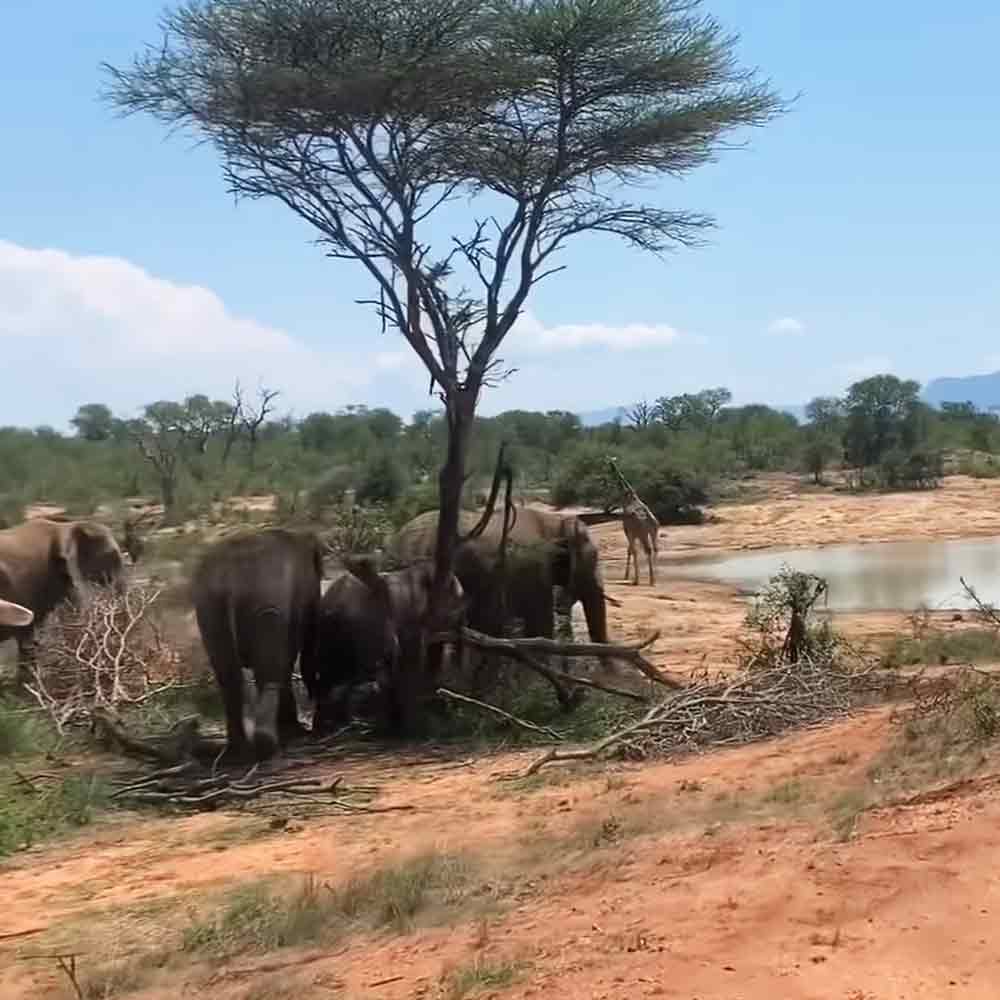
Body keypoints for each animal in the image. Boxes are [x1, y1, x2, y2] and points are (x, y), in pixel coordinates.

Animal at [191, 527, 324, 761]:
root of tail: (229, 579)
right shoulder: (307, 593)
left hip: (209, 608)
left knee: (230, 677)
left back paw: (237, 752)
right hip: (265, 604)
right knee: (269, 670)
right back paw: (268, 746)